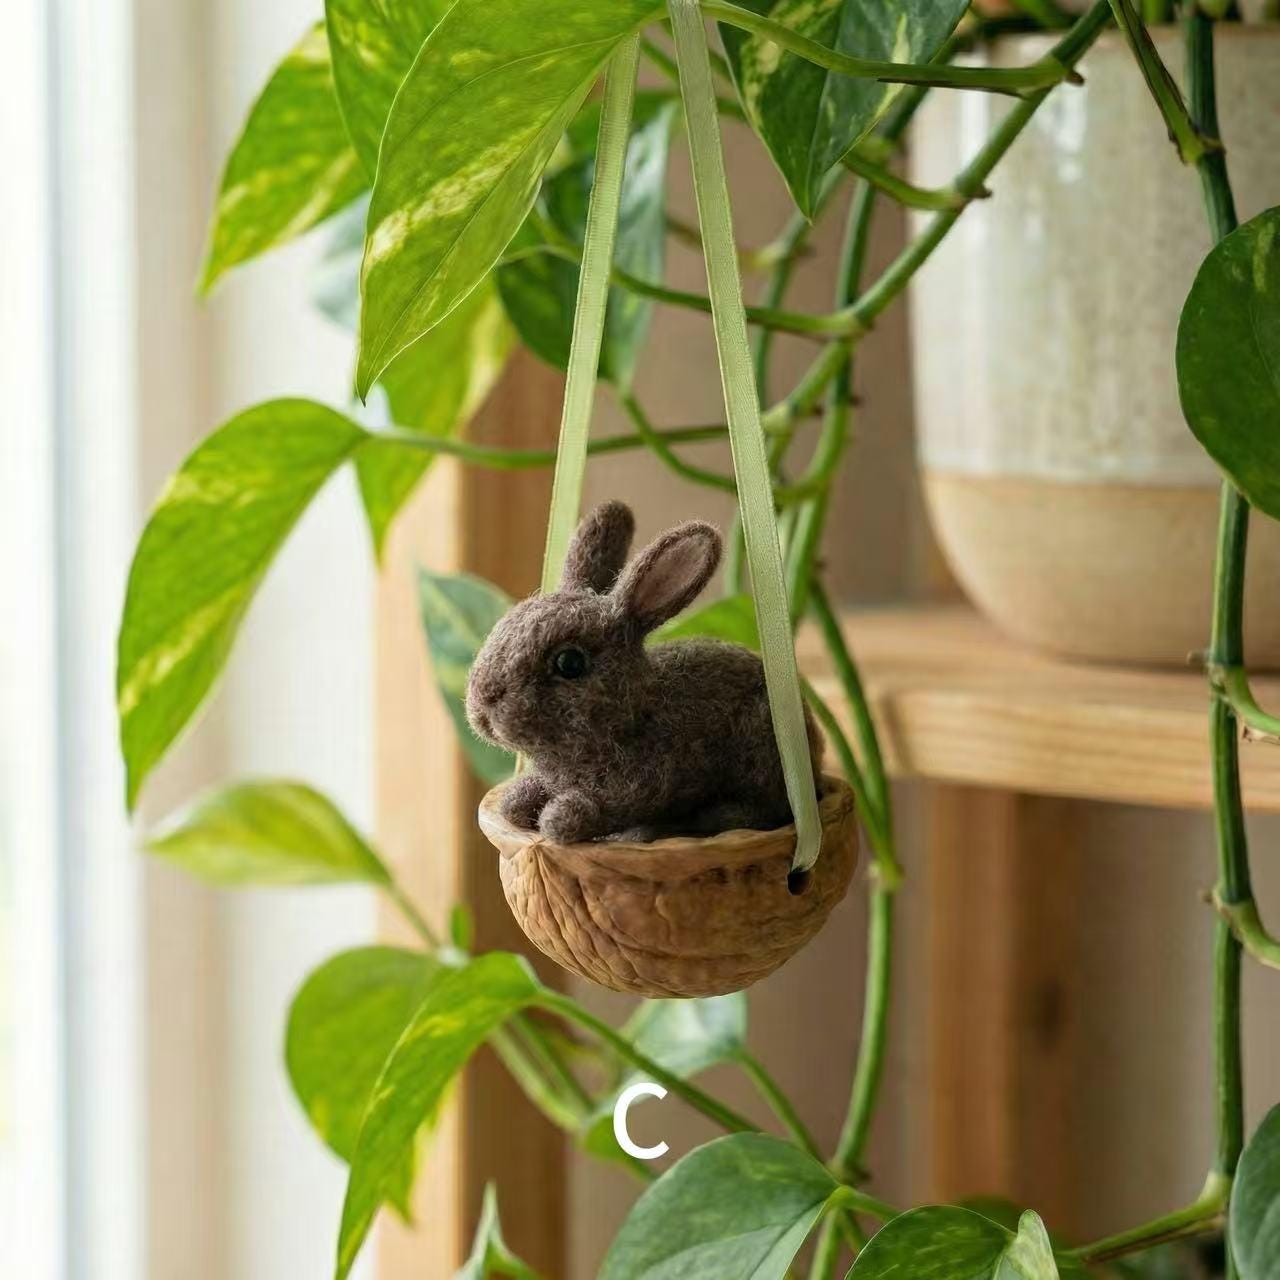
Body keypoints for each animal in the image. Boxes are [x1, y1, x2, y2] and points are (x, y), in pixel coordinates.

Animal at [466, 499, 823, 844]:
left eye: (569, 663)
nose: (485, 702)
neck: (634, 718)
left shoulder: (641, 788)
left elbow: (588, 812)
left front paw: (559, 817)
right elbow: (521, 800)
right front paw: (517, 801)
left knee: (763, 807)